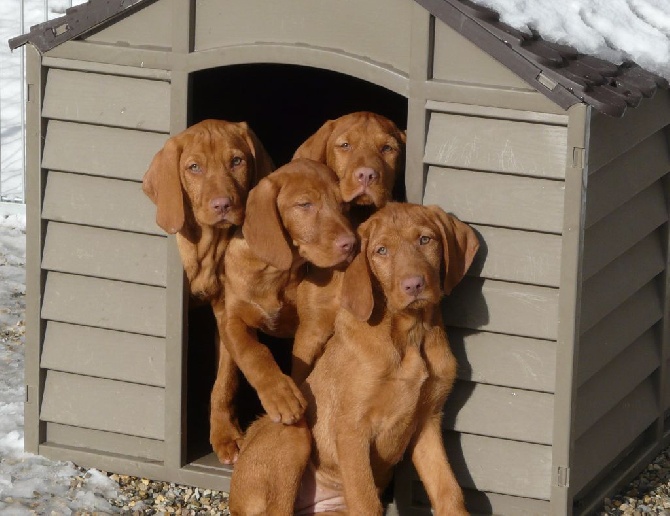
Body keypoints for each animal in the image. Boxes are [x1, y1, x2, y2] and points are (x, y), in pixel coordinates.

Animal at [142, 118, 276, 464]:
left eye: (237, 161)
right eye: (194, 167)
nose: (223, 205)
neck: (207, 246)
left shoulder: (226, 313)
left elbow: (225, 382)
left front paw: (225, 435)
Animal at [210, 158, 356, 464]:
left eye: (343, 206)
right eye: (305, 204)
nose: (352, 243)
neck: (275, 273)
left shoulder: (313, 329)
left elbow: (302, 371)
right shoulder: (232, 319)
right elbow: (254, 353)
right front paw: (280, 396)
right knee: (224, 380)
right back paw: (224, 434)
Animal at [231, 203, 478, 516]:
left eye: (425, 240)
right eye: (381, 251)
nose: (413, 285)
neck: (410, 334)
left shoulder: (428, 421)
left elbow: (448, 491)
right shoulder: (352, 430)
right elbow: (366, 501)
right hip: (293, 435)